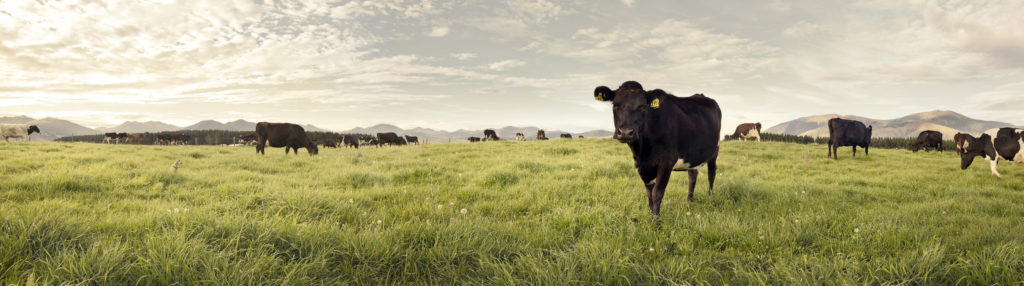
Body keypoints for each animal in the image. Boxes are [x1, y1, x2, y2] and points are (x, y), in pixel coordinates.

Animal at [593, 80, 720, 215]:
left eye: (643, 106)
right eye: (615, 105)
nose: (626, 132)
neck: (643, 151)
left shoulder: (667, 161)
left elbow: (657, 193)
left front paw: (656, 219)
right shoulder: (641, 166)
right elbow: (649, 194)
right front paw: (650, 216)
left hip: (715, 150)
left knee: (712, 172)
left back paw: (710, 196)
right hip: (691, 155)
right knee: (692, 174)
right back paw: (689, 201)